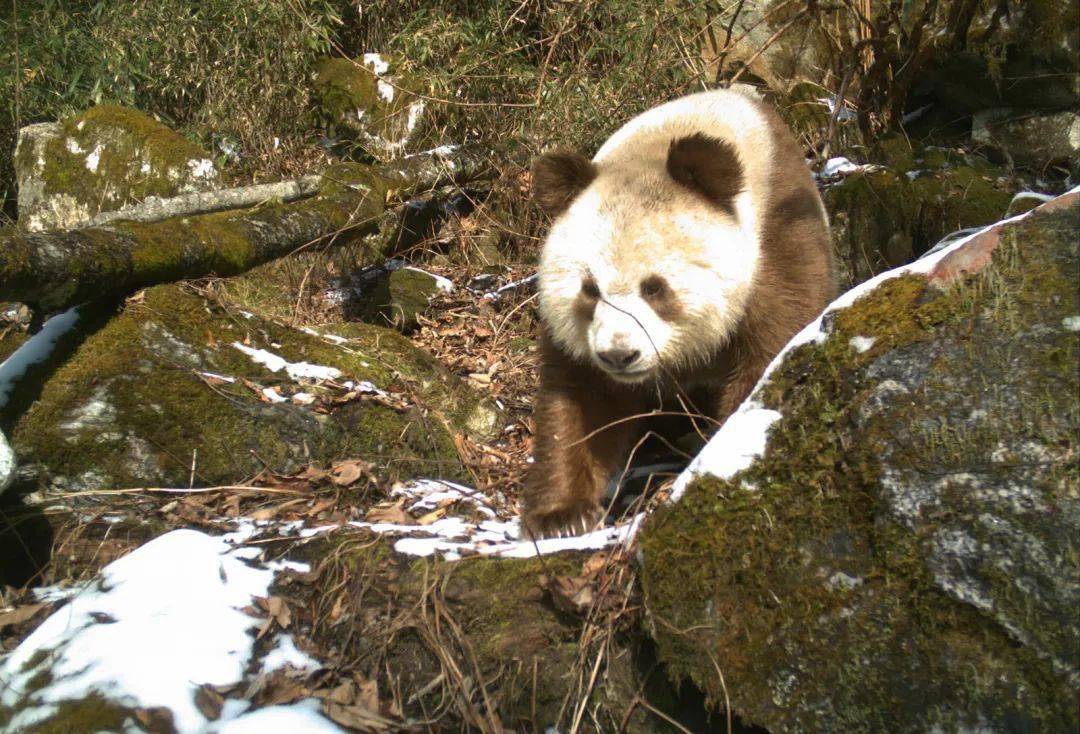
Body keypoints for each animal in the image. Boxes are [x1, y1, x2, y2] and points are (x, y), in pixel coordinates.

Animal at [522, 89, 833, 539]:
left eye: (654, 288)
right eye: (590, 291)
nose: (619, 355)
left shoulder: (778, 240)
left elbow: (771, 351)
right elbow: (583, 399)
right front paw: (560, 518)